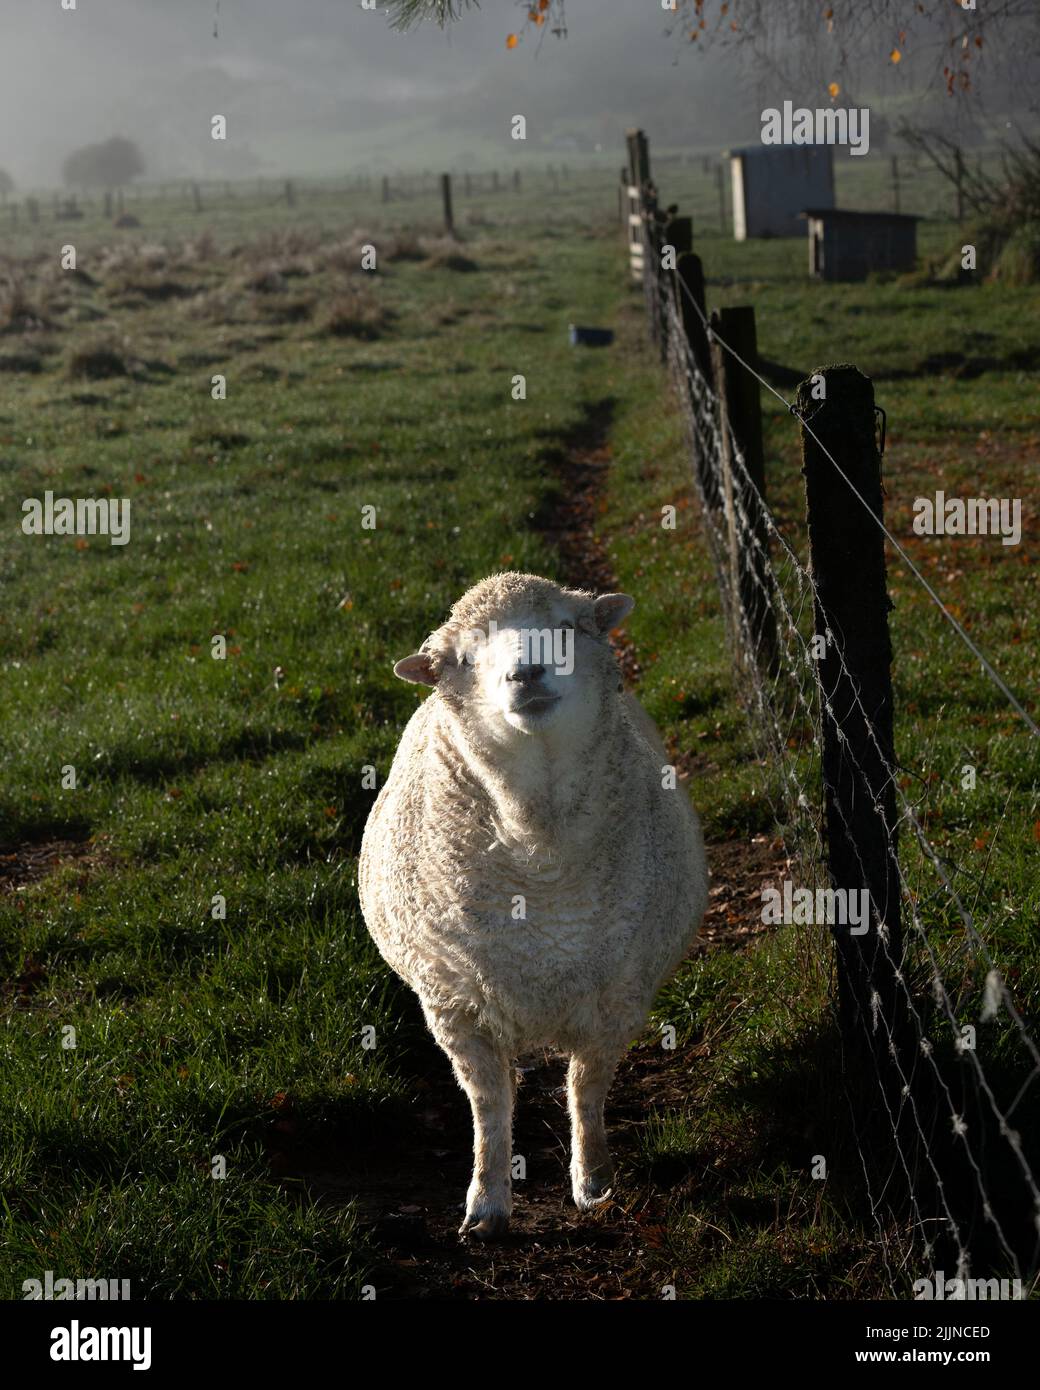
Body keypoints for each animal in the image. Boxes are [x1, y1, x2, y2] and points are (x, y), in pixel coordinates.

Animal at [358, 569, 706, 1245]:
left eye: (568, 628)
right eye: (463, 659)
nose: (528, 672)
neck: (538, 850)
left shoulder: (617, 997)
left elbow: (586, 1091)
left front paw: (593, 1182)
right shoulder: (456, 1007)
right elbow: (490, 1107)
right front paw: (487, 1201)